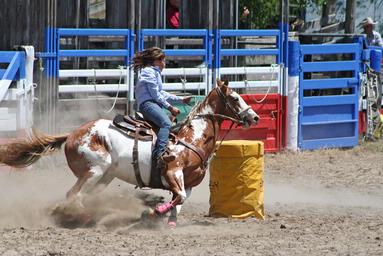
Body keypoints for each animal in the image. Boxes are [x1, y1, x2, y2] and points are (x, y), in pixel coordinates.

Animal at [0, 79, 260, 227]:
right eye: (235, 98)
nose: (255, 117)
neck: (191, 137)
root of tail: (72, 134)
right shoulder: (173, 172)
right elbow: (178, 198)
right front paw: (154, 211)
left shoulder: (190, 183)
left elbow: (180, 201)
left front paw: (162, 218)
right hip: (94, 171)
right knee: (74, 195)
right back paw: (84, 218)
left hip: (105, 177)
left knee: (82, 196)